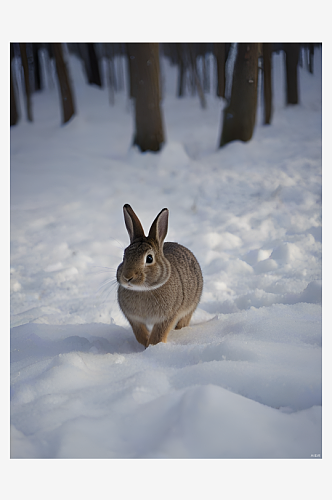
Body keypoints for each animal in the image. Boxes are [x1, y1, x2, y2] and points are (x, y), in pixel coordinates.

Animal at [116, 204, 205, 348]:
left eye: (149, 258)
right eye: (124, 256)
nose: (127, 277)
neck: (143, 290)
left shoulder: (168, 317)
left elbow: (158, 336)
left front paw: (152, 347)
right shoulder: (134, 319)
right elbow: (140, 334)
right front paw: (145, 344)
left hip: (191, 305)